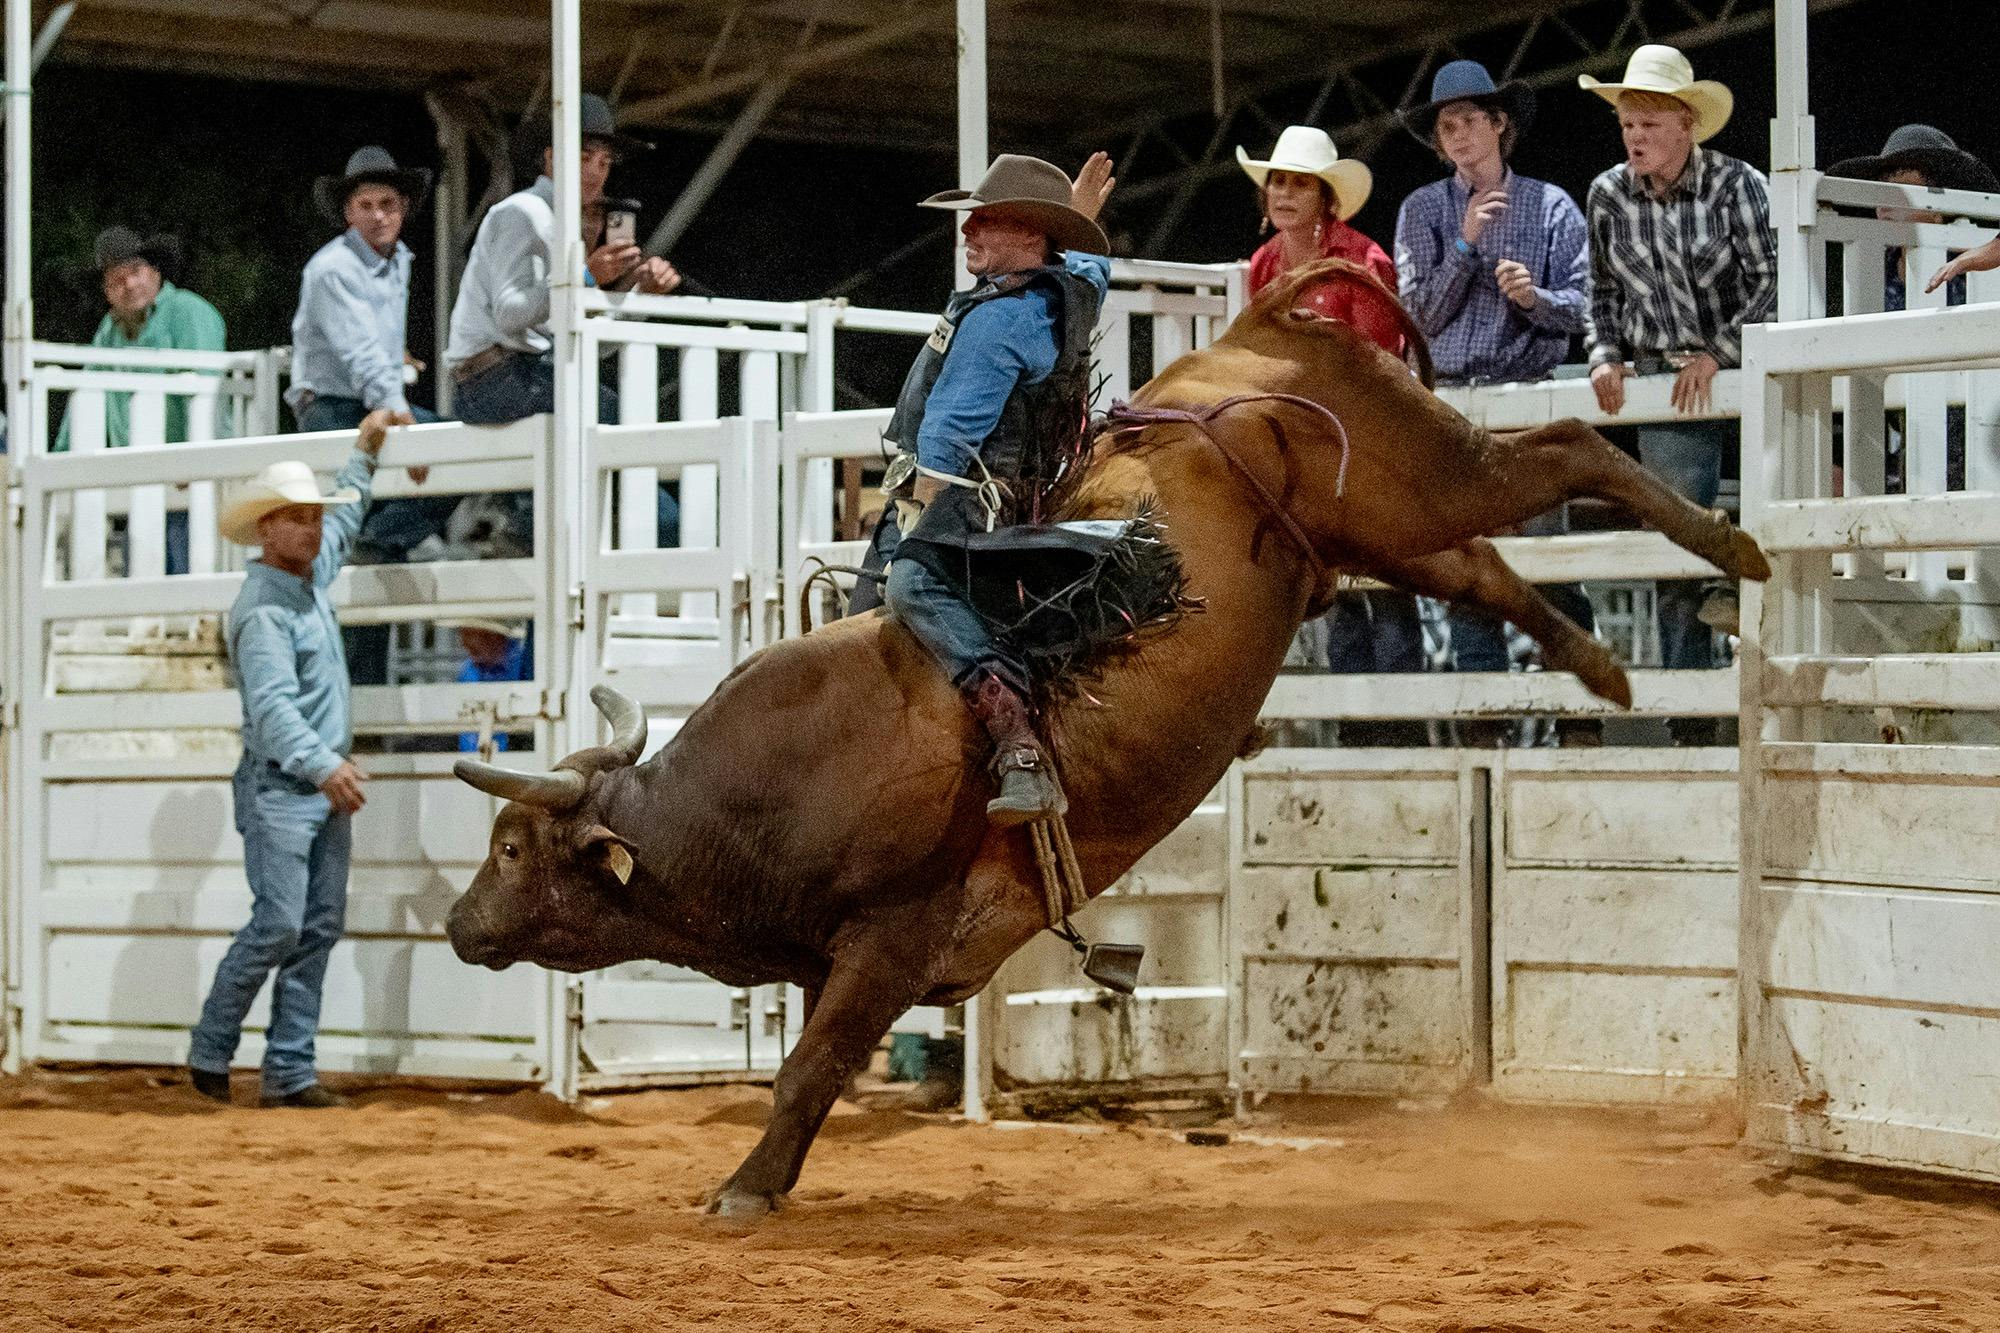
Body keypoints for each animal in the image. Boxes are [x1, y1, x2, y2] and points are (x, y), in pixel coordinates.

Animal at [447, 258, 1769, 1217]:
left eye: (512, 850)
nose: (459, 925)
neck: (751, 796)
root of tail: (1261, 325)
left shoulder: (890, 935)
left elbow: (806, 1068)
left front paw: (742, 1190)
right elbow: (812, 1067)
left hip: (1423, 477)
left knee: (1564, 454)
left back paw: (1734, 551)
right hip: (1377, 533)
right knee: (1486, 564)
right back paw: (1604, 666)